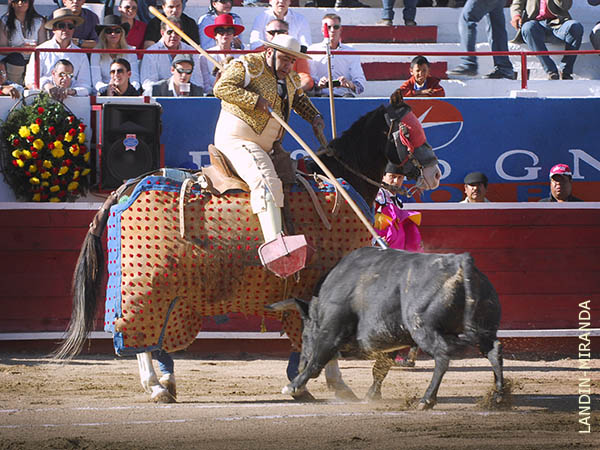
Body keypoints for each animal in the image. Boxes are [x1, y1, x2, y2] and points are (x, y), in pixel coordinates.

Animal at [56, 93, 440, 402]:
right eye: (408, 131)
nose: (435, 173)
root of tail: (127, 185)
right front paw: (332, 386)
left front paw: (299, 384)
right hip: (148, 285)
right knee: (135, 334)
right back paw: (155, 386)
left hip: (168, 293)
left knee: (151, 337)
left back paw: (165, 383)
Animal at [274, 246, 504, 408]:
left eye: (304, 335)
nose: (300, 365)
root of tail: (460, 260)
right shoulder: (391, 339)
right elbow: (381, 368)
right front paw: (371, 396)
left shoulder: (331, 332)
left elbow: (317, 361)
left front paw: (293, 385)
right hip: (484, 328)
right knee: (494, 351)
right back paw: (498, 397)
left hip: (422, 328)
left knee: (442, 356)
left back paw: (426, 400)